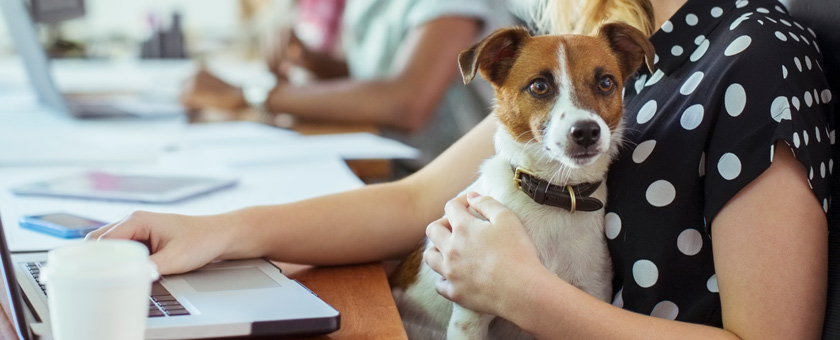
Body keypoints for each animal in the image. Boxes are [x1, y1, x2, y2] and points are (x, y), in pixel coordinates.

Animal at [388, 22, 656, 338]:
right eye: (539, 86)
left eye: (605, 82)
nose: (586, 131)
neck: (555, 194)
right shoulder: (469, 317)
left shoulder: (592, 290)